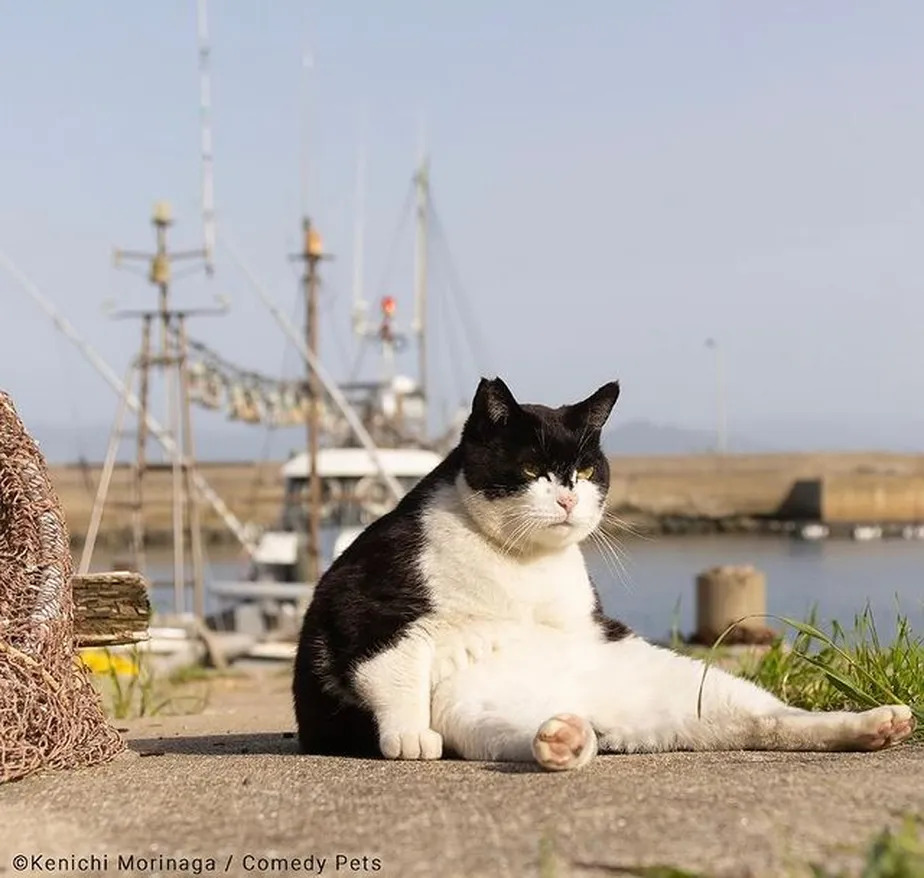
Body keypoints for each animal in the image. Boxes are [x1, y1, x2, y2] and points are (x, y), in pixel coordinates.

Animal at [292, 378, 912, 768]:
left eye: (587, 470)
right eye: (532, 468)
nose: (568, 499)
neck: (519, 563)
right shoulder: (365, 605)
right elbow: (394, 672)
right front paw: (406, 736)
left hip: (691, 685)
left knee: (771, 720)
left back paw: (874, 725)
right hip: (471, 711)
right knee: (527, 734)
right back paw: (565, 740)